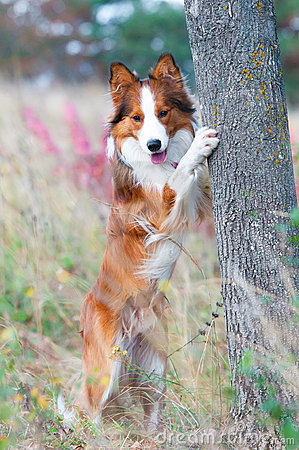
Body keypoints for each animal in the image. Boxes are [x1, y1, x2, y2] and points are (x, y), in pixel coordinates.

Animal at [79, 54, 220, 430]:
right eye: (137, 118)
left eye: (163, 113)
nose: (154, 145)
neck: (157, 163)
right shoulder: (159, 215)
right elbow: (179, 175)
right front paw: (199, 146)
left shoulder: (197, 204)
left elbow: (197, 182)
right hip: (105, 366)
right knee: (89, 411)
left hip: (155, 364)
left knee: (151, 407)